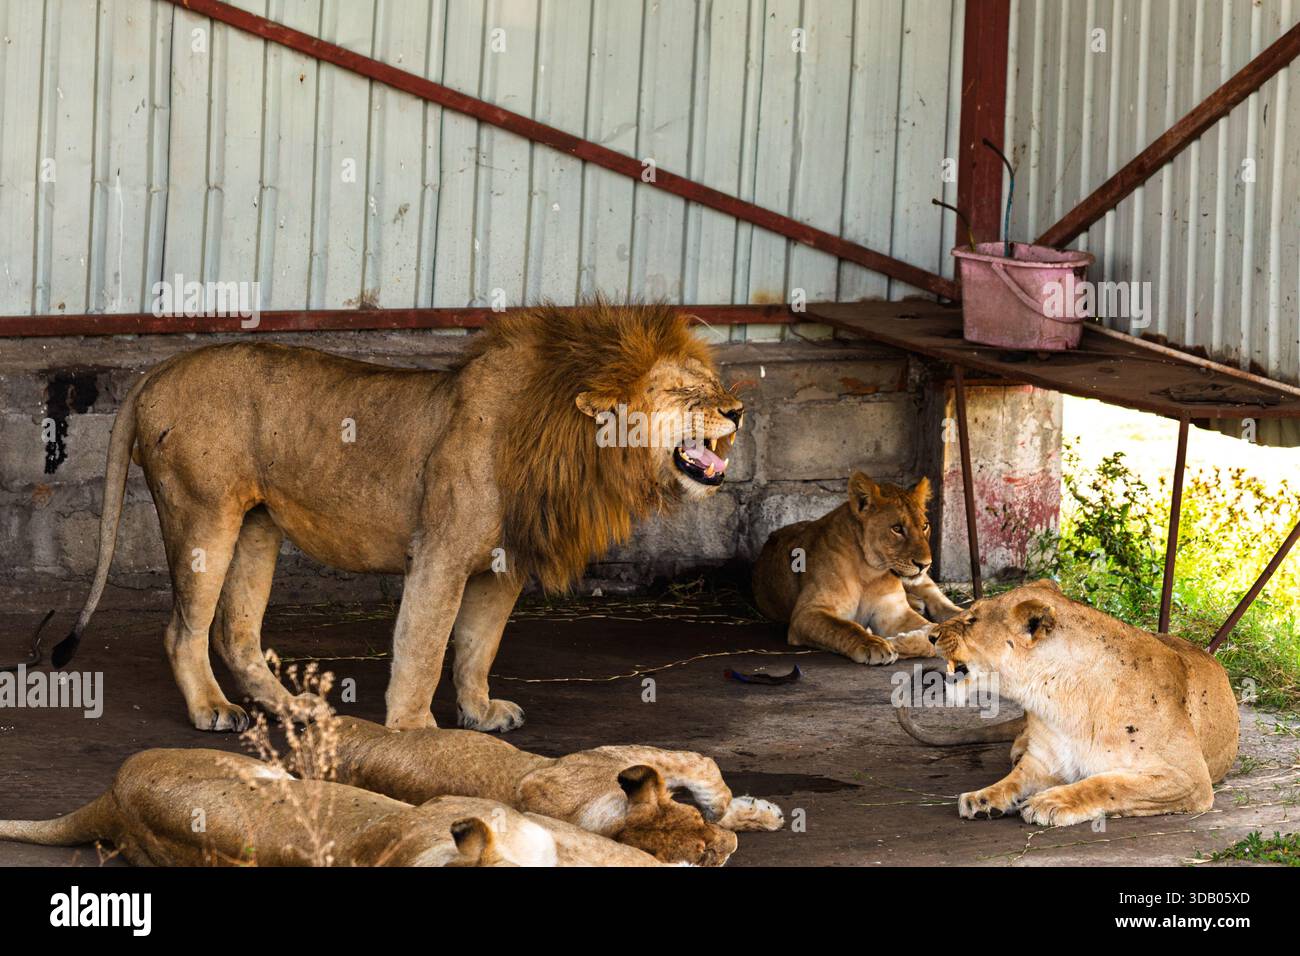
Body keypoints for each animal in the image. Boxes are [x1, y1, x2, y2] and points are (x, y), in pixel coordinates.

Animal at [51, 302, 743, 732]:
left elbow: (477, 646)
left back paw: (294, 709)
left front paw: (479, 712)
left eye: (713, 383)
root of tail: (156, 371)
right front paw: (415, 728)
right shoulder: (440, 552)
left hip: (256, 526)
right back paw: (212, 711)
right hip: (202, 515)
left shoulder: (503, 567)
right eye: (684, 391)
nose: (737, 411)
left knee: (234, 633)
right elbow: (426, 645)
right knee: (184, 630)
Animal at [330, 716, 783, 865]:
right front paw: (747, 813)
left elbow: (704, 771)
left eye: (694, 820)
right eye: (704, 857)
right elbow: (704, 767)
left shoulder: (623, 758)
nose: (734, 847)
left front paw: (756, 812)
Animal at [752, 472, 963, 664]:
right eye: (897, 528)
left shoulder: (894, 613)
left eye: (925, 525)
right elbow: (844, 628)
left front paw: (898, 642)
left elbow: (930, 633)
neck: (870, 571)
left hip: (924, 583)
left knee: (941, 601)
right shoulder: (807, 613)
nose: (925, 564)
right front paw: (875, 644)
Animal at [897, 581, 1239, 826]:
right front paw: (982, 799)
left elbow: (1107, 784)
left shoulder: (1189, 777)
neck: (1060, 697)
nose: (931, 635)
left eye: (972, 619)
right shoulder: (1043, 761)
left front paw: (1050, 802)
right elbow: (1013, 781)